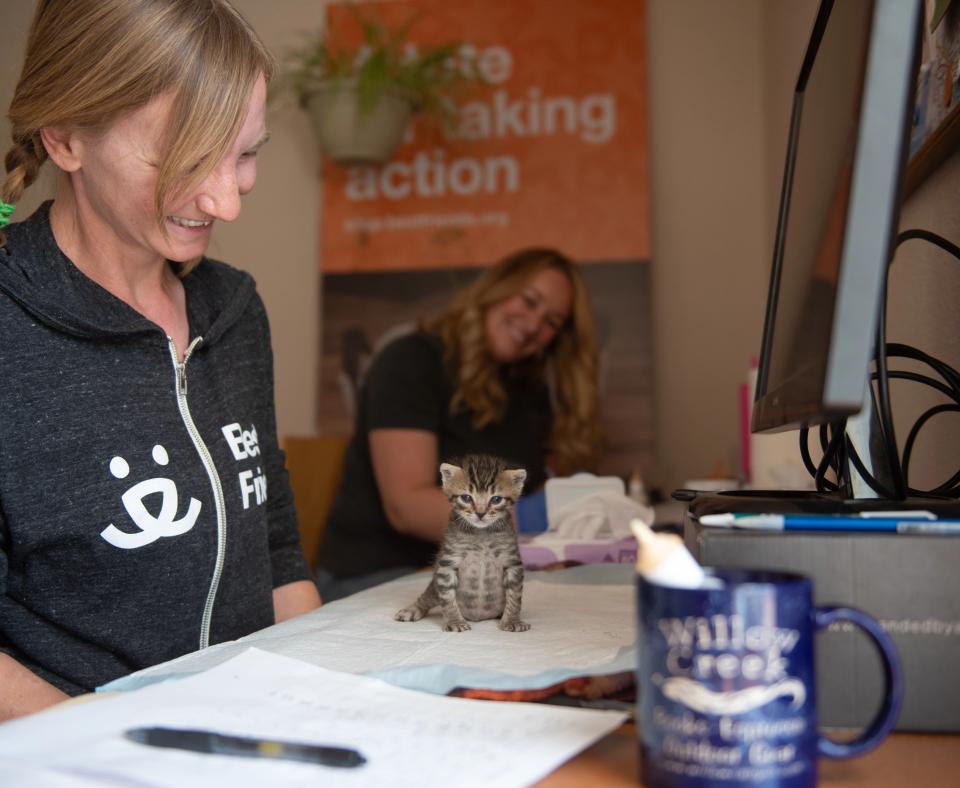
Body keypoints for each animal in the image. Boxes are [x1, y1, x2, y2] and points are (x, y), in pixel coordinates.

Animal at [396, 456, 532, 636]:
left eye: (496, 499)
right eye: (466, 498)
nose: (480, 513)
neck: (481, 535)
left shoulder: (512, 562)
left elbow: (515, 596)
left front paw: (512, 620)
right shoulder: (447, 563)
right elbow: (447, 598)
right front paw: (455, 622)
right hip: (434, 587)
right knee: (427, 597)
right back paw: (412, 610)